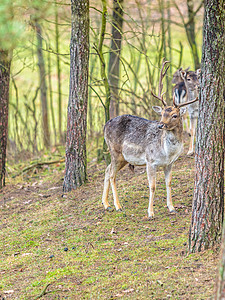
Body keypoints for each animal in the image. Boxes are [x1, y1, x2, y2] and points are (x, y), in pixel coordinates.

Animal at [101, 59, 198, 217]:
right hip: (115, 151)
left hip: (123, 158)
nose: (160, 125)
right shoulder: (150, 161)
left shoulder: (170, 164)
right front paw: (150, 213)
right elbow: (152, 186)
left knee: (107, 169)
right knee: (112, 175)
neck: (167, 152)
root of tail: (105, 125)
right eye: (162, 113)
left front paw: (172, 208)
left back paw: (106, 204)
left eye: (174, 115)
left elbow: (168, 183)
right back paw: (117, 206)